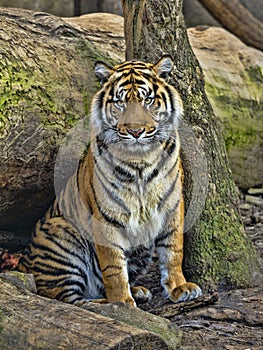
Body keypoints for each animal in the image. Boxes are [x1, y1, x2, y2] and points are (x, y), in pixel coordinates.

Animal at [17, 54, 202, 306]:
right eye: (120, 103)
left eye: (148, 100)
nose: (136, 131)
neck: (141, 161)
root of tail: (22, 264)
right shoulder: (106, 215)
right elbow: (113, 266)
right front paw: (122, 303)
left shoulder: (172, 204)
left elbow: (173, 250)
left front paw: (180, 287)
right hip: (63, 233)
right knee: (67, 298)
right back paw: (110, 302)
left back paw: (138, 291)